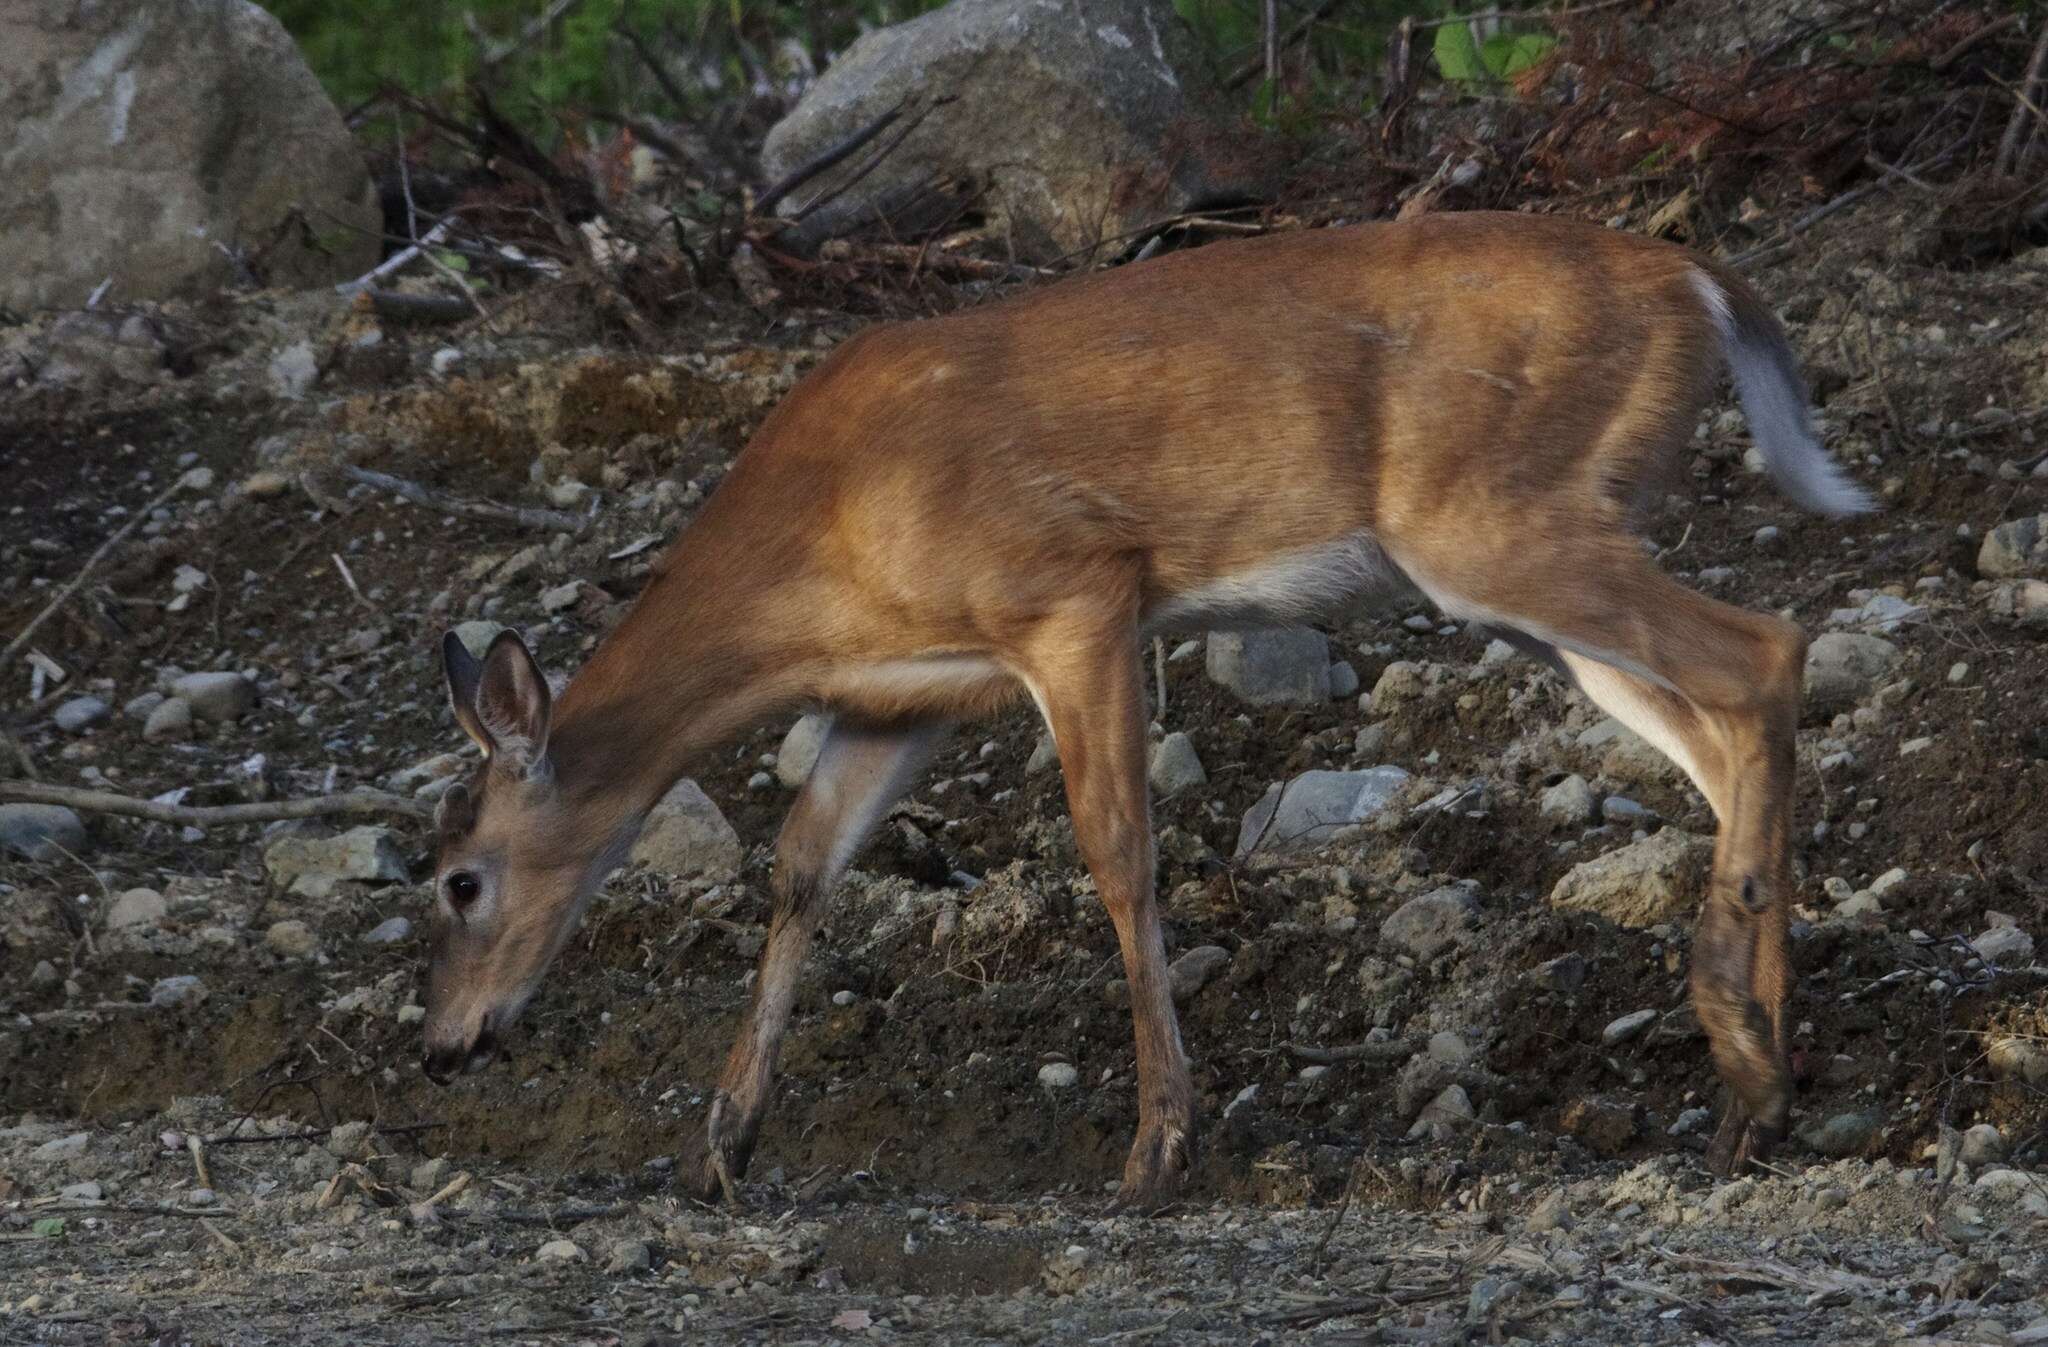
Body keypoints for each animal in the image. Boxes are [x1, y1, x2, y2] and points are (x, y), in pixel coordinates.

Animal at [423, 209, 1875, 1203]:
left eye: (457, 879)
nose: (442, 1046)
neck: (821, 535)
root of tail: (1703, 283)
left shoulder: (1073, 595)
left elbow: (1118, 852)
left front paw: (1156, 1143)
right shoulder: (905, 695)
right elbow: (799, 866)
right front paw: (722, 1139)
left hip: (1498, 521)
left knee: (1767, 649)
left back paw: (1745, 1055)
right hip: (1533, 567)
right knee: (1724, 725)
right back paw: (1760, 1085)